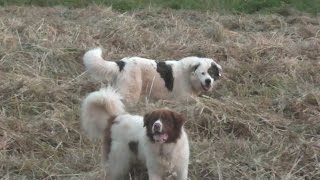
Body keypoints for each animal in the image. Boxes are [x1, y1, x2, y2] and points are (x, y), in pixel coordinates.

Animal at [83, 47, 222, 105]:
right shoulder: (184, 98)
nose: (208, 81)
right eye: (202, 73)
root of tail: (122, 63)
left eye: (212, 74)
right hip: (131, 92)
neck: (189, 75)